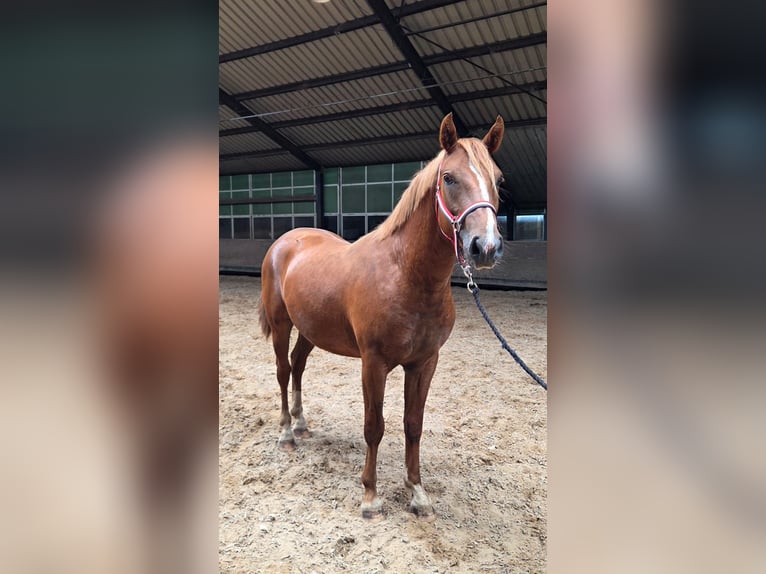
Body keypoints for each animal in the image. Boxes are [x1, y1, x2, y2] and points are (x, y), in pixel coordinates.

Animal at [258, 113, 505, 520]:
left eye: (498, 179)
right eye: (449, 178)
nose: (485, 247)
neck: (405, 274)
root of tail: (285, 241)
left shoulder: (424, 362)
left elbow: (413, 424)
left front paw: (417, 493)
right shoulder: (373, 363)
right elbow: (374, 425)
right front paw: (370, 496)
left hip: (311, 330)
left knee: (298, 366)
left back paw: (302, 423)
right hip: (282, 324)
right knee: (282, 370)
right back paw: (285, 433)